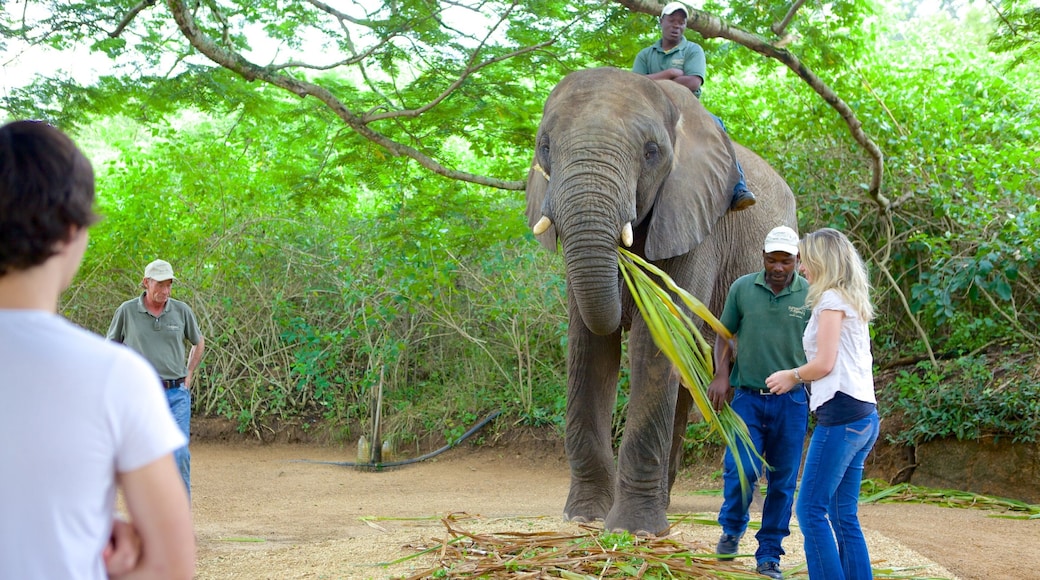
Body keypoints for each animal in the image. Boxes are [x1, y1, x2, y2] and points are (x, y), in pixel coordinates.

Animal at [525, 67, 797, 536]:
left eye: (651, 153)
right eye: (544, 147)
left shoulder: (695, 218)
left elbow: (653, 341)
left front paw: (633, 530)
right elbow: (590, 346)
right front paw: (585, 517)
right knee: (689, 383)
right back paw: (667, 502)